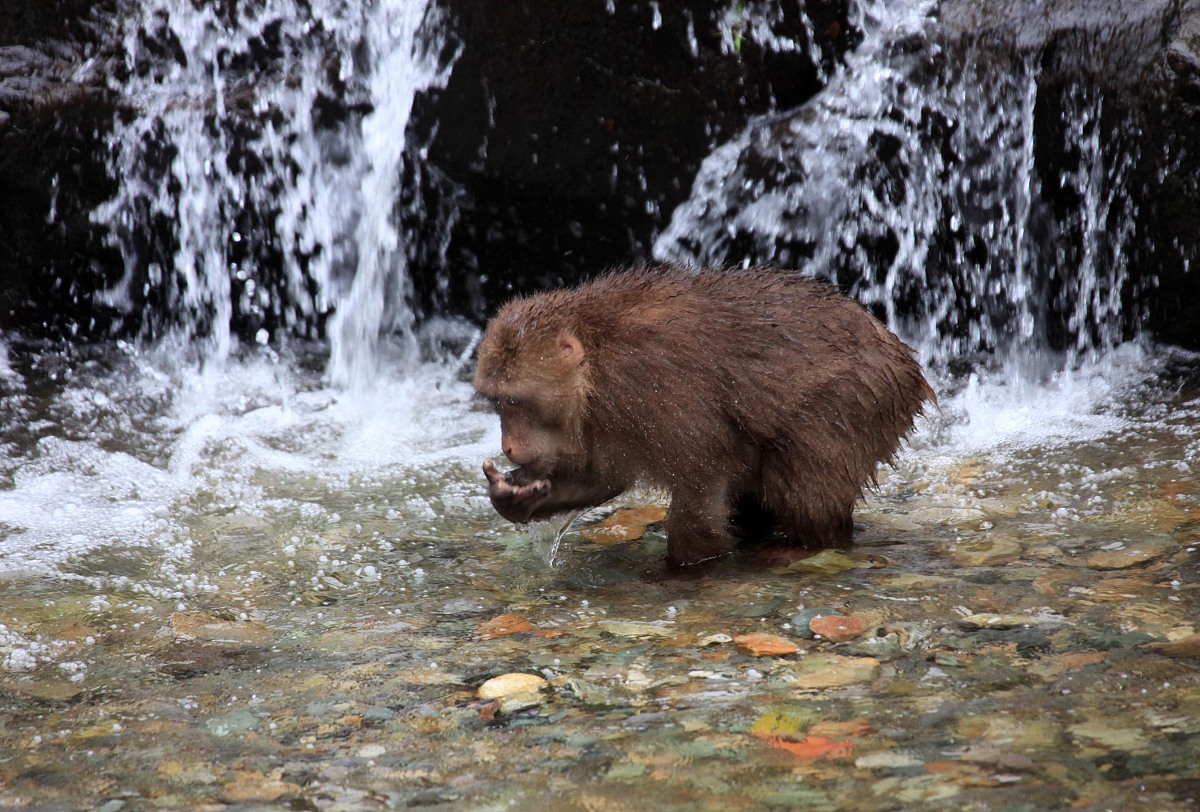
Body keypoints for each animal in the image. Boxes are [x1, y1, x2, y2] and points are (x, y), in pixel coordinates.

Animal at [470, 262, 936, 566]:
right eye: (497, 402)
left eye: (517, 402)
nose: (508, 444)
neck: (596, 365)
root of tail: (902, 356)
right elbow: (604, 477)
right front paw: (516, 496)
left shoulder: (650, 384)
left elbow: (702, 472)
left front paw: (687, 567)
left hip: (857, 399)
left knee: (805, 479)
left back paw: (810, 544)